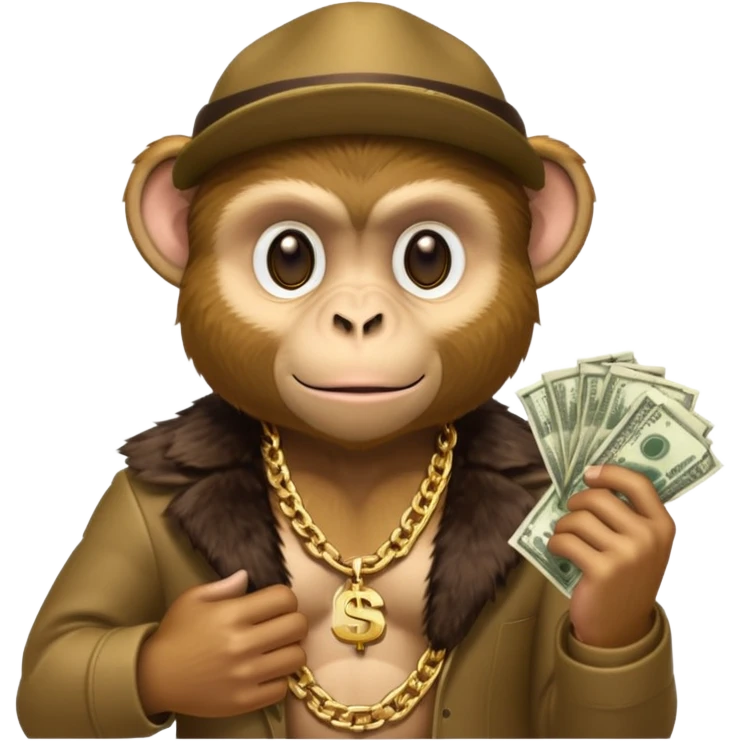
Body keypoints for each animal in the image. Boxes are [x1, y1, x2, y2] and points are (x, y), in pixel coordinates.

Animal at [15, 3, 678, 739]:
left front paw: (615, 559)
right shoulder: (127, 500)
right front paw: (209, 645)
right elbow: (54, 662)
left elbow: (580, 709)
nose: (358, 317)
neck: (356, 466)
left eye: (427, 256)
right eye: (289, 256)